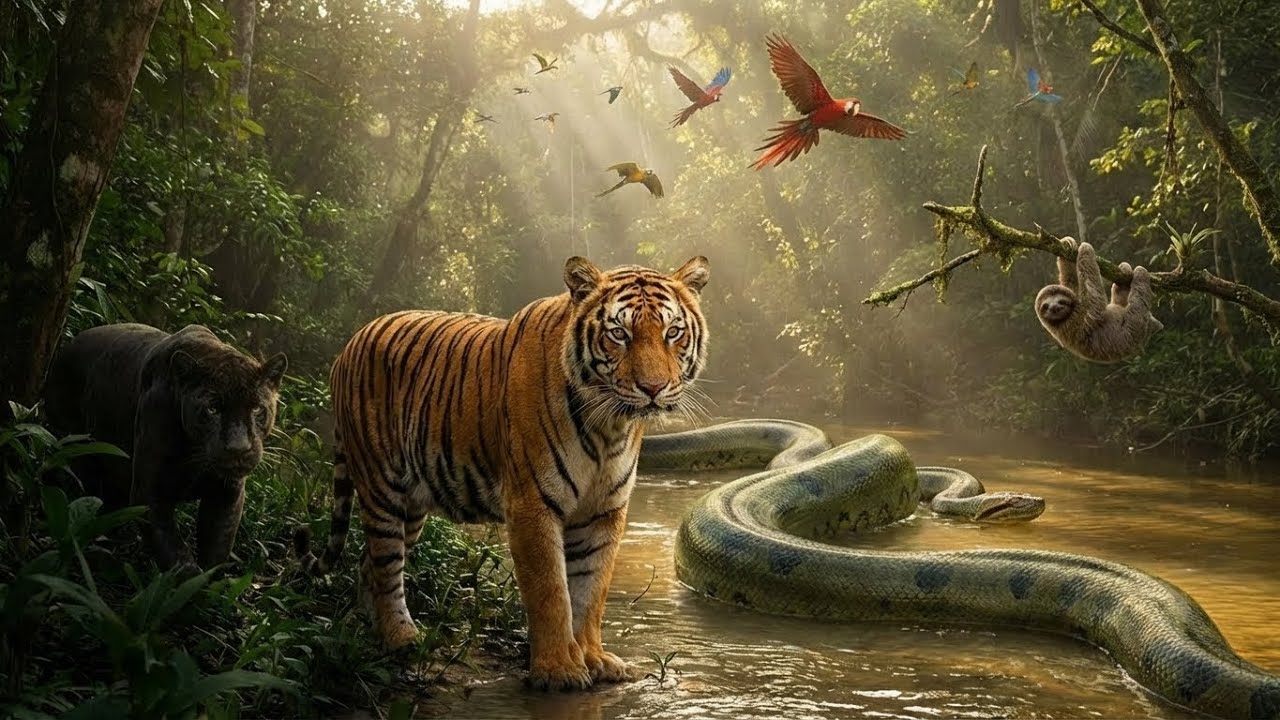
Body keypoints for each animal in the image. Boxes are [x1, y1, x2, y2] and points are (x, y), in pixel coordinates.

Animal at [295, 254, 710, 690]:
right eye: (619, 333)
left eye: (673, 332)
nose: (653, 388)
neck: (609, 426)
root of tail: (351, 341)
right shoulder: (532, 503)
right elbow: (551, 590)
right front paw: (558, 670)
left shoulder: (604, 510)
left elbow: (591, 589)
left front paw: (594, 658)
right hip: (381, 487)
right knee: (387, 564)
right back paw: (400, 637)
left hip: (413, 504)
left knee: (370, 564)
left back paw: (371, 630)